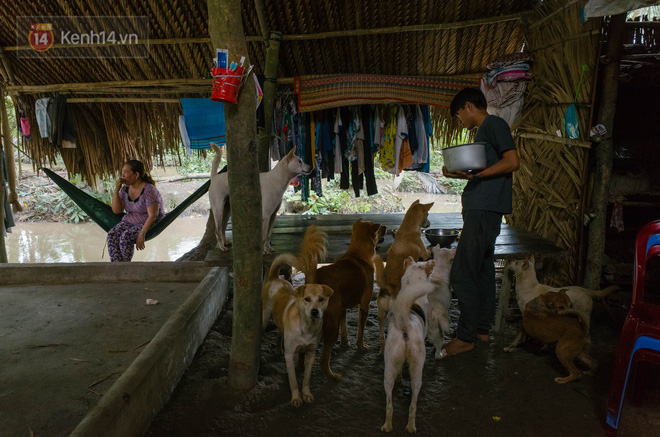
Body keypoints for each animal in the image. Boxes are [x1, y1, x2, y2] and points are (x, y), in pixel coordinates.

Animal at [262, 225, 332, 406]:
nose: (315, 311)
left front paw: (306, 394)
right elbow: (293, 379)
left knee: (279, 334)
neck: (306, 327)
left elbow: (306, 378)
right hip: (265, 317)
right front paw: (296, 397)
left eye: (321, 299)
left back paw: (277, 348)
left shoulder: (311, 354)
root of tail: (275, 278)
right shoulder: (290, 355)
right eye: (307, 299)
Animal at [300, 220, 386, 380]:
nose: (386, 227)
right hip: (332, 326)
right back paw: (333, 376)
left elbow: (345, 328)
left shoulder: (342, 308)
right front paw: (361, 346)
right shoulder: (364, 305)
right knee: (323, 360)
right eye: (377, 229)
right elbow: (360, 331)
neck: (357, 254)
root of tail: (314, 279)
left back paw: (300, 368)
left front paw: (345, 344)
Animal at [374, 199, 436, 352]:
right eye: (428, 214)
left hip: (380, 315)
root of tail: (389, 289)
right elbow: (429, 249)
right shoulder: (424, 254)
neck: (408, 228)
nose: (429, 224)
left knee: (381, 336)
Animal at [378, 258, 436, 430]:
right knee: (413, 405)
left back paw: (388, 426)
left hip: (389, 370)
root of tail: (405, 324)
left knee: (389, 405)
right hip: (417, 371)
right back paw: (411, 427)